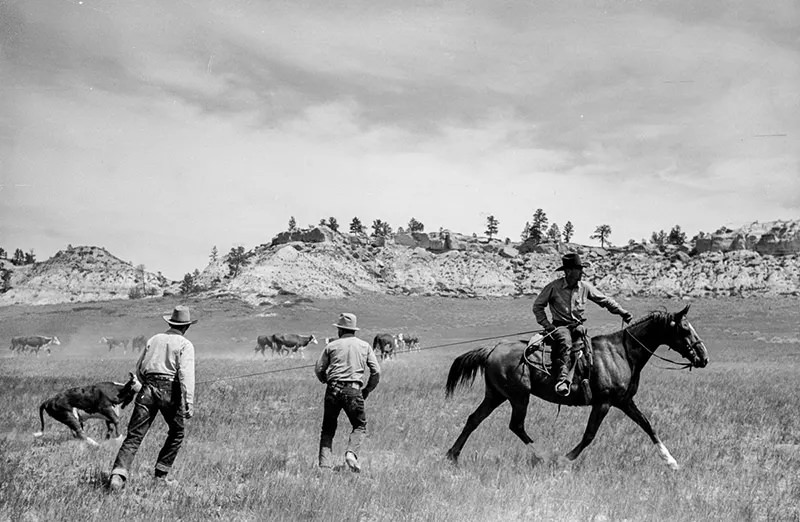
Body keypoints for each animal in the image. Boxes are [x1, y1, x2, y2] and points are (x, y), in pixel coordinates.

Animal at [446, 302, 708, 470]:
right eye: (685, 329)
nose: (703, 357)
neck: (622, 353)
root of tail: (492, 349)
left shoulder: (624, 401)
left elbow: (647, 425)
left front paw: (671, 462)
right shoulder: (603, 403)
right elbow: (589, 434)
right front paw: (565, 459)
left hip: (496, 395)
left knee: (474, 419)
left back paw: (452, 455)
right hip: (518, 397)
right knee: (516, 425)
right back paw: (544, 456)